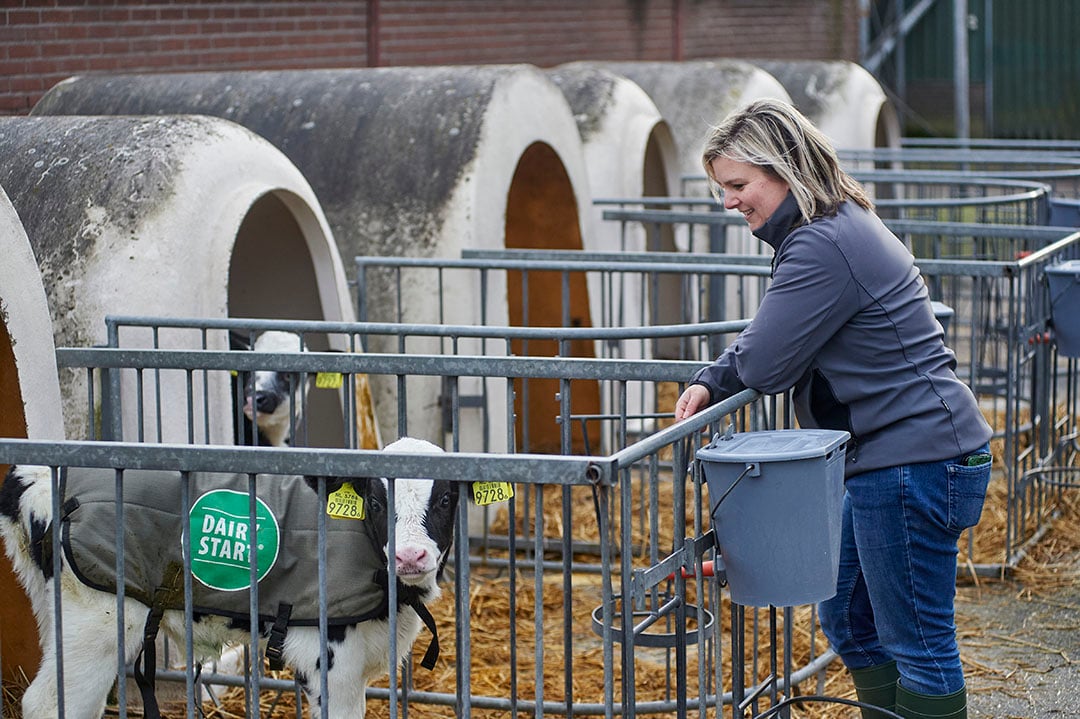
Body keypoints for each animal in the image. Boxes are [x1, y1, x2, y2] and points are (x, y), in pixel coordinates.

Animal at [0, 433, 460, 712]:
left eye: (445, 500)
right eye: (377, 503)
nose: (410, 556)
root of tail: (34, 477)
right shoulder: (330, 660)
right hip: (95, 620)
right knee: (48, 702)